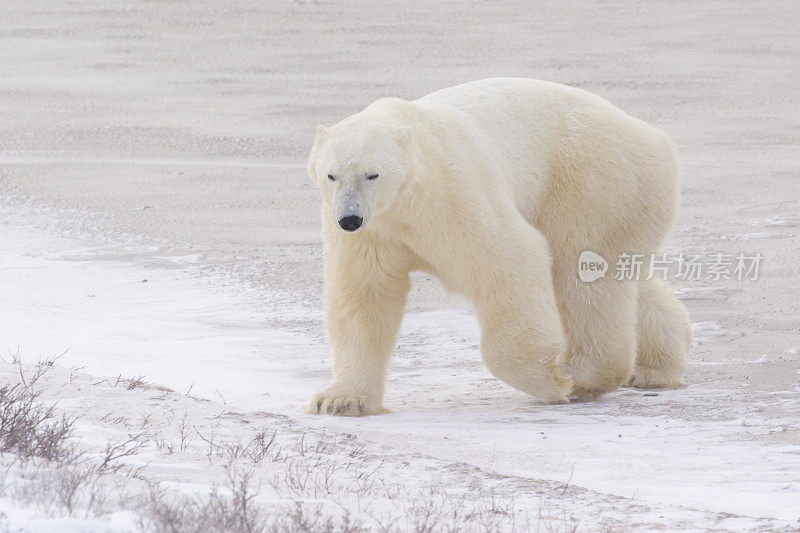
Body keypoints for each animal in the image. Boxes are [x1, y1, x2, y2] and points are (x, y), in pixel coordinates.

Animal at [304, 77, 692, 416]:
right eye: (331, 175)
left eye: (373, 174)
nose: (350, 218)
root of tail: (652, 136)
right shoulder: (374, 232)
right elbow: (364, 294)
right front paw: (341, 400)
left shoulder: (453, 193)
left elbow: (507, 262)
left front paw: (550, 380)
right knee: (628, 279)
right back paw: (654, 367)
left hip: (592, 180)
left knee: (583, 273)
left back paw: (585, 374)